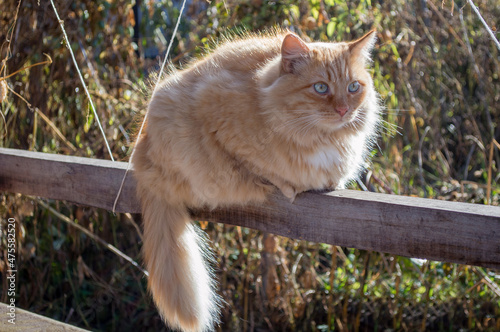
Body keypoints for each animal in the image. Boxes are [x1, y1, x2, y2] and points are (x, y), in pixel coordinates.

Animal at [133, 29, 378, 332]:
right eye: (321, 88)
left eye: (354, 87)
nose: (344, 110)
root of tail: (143, 167)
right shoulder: (223, 130)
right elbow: (261, 171)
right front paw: (290, 186)